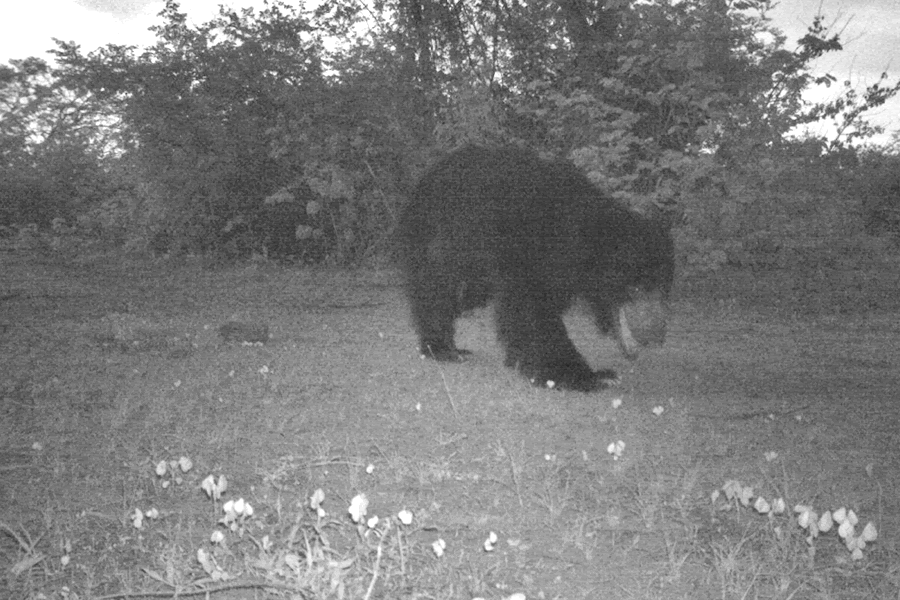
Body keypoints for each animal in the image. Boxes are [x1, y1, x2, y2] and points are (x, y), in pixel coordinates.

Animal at [397, 145, 675, 392]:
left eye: (662, 287)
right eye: (636, 288)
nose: (656, 336)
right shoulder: (529, 252)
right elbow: (534, 312)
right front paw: (588, 376)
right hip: (444, 237)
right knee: (437, 289)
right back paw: (443, 348)